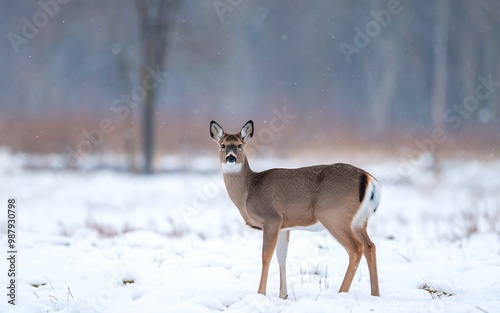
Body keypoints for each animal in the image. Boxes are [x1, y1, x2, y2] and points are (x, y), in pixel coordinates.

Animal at [210, 119, 378, 298]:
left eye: (240, 145)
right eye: (223, 145)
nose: (231, 157)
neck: (249, 190)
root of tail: (368, 178)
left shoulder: (271, 218)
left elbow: (266, 256)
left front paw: (261, 293)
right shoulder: (284, 226)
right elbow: (281, 256)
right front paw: (283, 295)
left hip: (334, 216)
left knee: (356, 248)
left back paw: (342, 292)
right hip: (359, 221)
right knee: (370, 246)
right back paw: (375, 294)